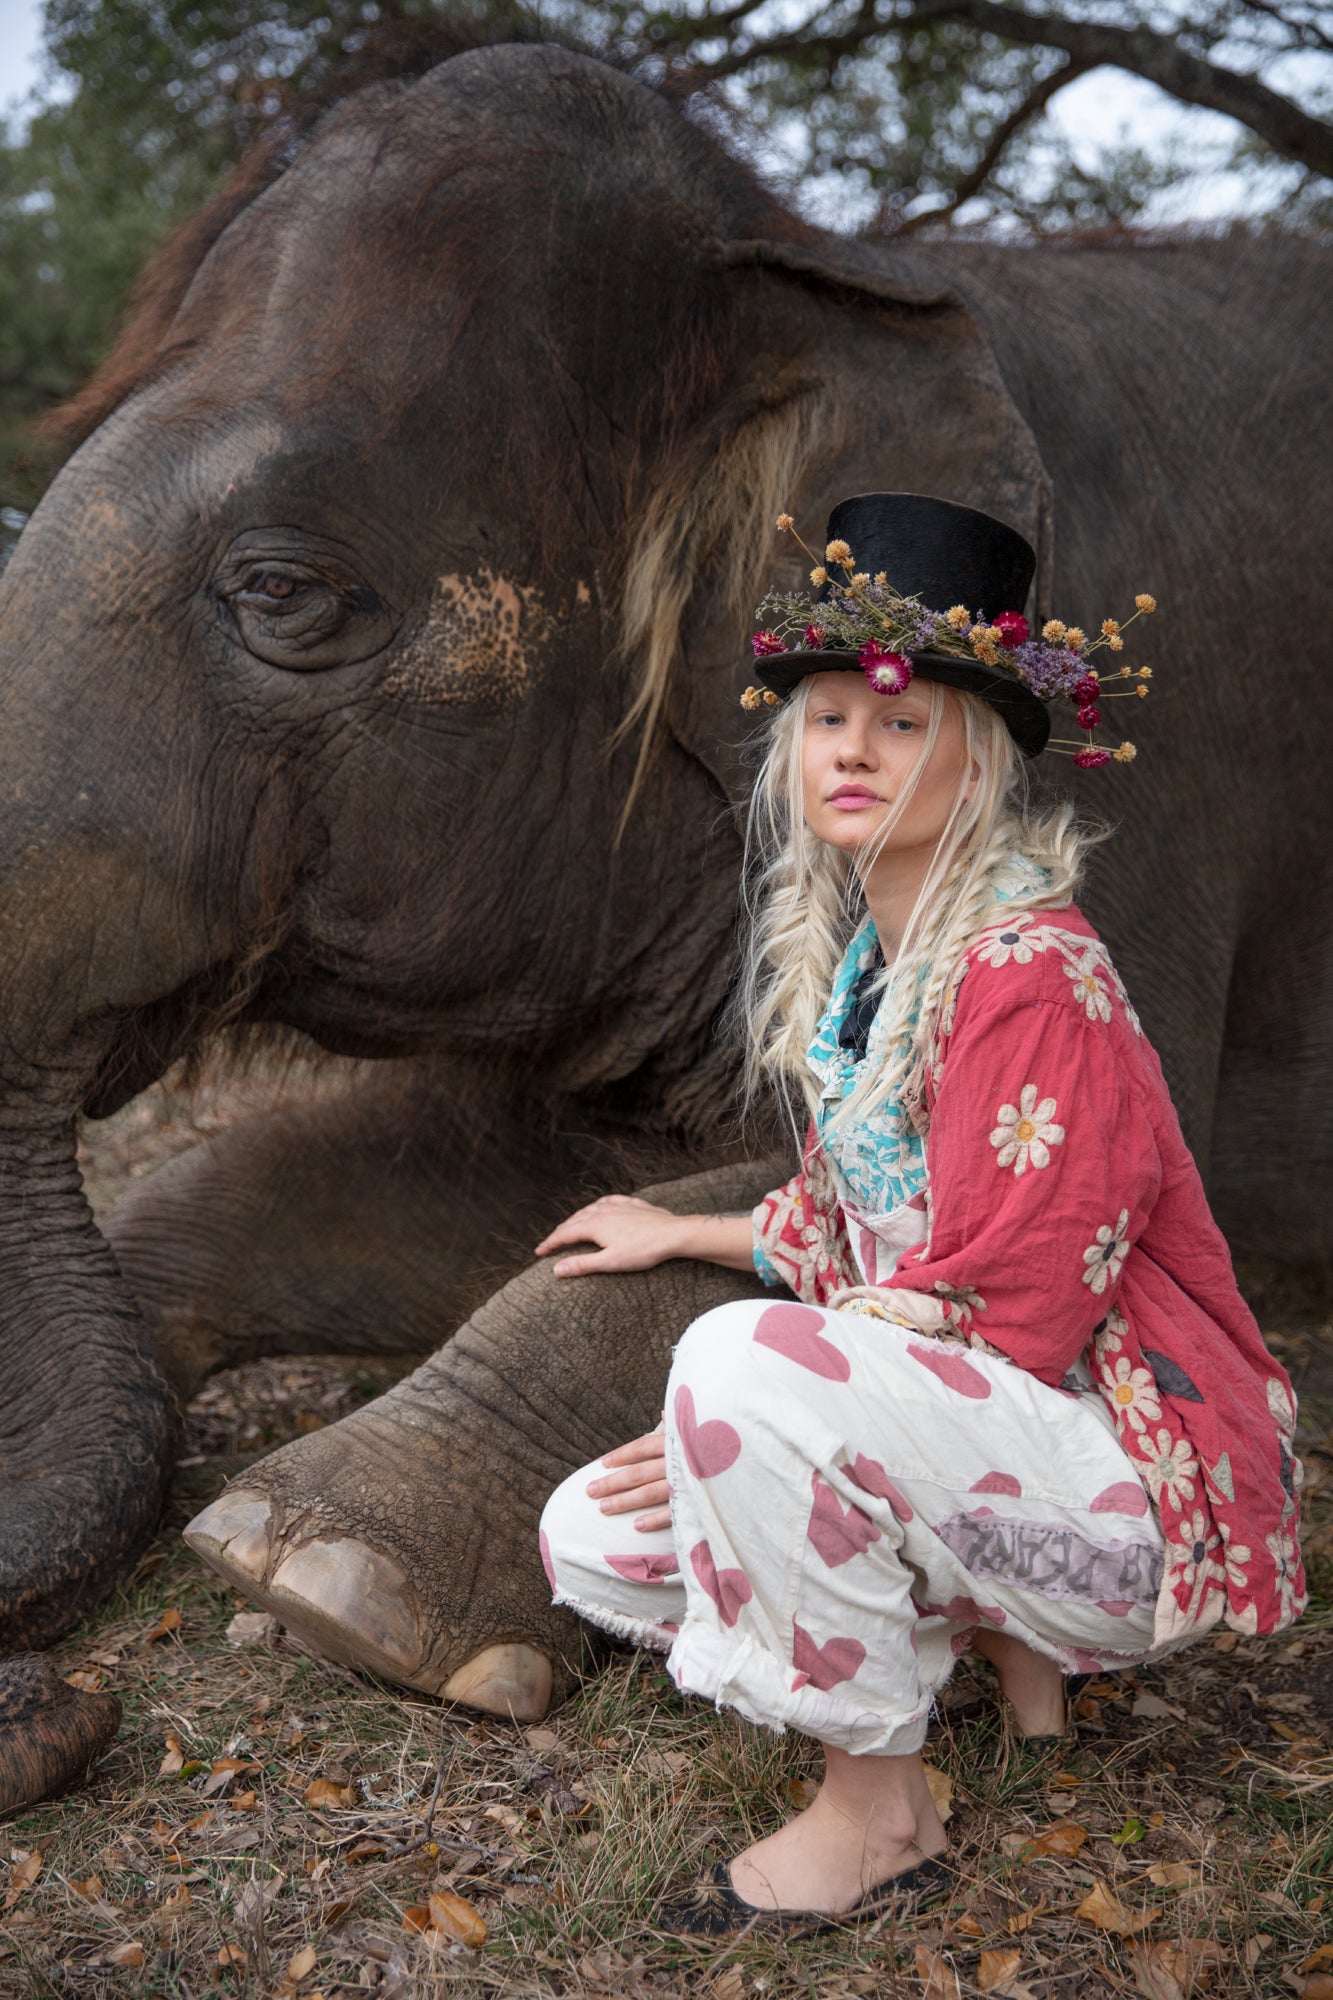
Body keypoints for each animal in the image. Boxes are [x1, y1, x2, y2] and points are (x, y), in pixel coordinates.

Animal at [0, 38, 1328, 1812]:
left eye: (279, 591)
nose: (58, 1702)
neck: (817, 268)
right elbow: (516, 1181)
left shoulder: (1135, 799)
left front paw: (322, 1574)